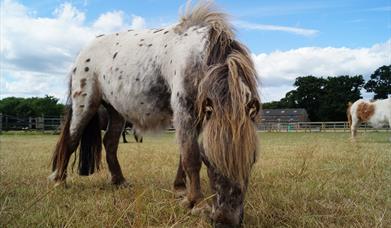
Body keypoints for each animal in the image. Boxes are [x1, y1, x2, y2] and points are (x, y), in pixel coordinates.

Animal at [50, 1, 262, 226]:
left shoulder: (195, 115)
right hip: (85, 103)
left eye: (252, 159)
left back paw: (119, 180)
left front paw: (181, 190)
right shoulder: (184, 110)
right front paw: (197, 203)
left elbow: (183, 154)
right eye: (208, 160)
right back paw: (59, 181)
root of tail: (82, 53)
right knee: (71, 139)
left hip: (116, 111)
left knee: (110, 142)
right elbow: (190, 156)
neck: (197, 55)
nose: (225, 220)